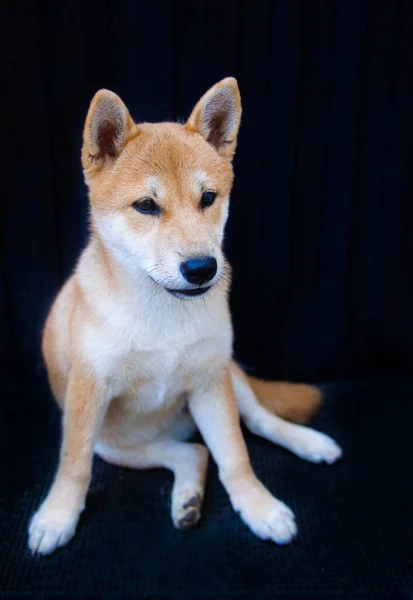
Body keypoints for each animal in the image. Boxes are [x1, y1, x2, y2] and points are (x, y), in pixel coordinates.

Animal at [27, 77, 340, 556]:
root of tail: (178, 429)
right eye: (145, 206)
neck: (162, 316)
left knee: (256, 421)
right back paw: (187, 499)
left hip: (227, 376)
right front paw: (58, 515)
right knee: (192, 453)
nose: (201, 268)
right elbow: (73, 465)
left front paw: (259, 507)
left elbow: (236, 456)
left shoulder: (210, 382)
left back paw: (310, 442)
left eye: (208, 198)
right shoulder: (87, 392)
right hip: (117, 445)